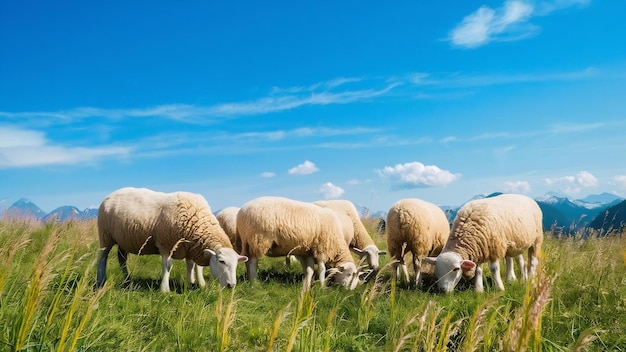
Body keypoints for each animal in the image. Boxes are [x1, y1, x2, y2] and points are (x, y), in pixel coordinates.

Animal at [95, 187, 246, 292]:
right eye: (221, 261)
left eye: (236, 264)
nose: (231, 285)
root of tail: (111, 194)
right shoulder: (166, 244)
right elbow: (168, 266)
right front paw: (164, 289)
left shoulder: (191, 246)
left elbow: (193, 266)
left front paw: (193, 283)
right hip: (105, 235)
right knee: (102, 258)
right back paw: (100, 281)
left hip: (123, 240)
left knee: (122, 259)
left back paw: (127, 280)